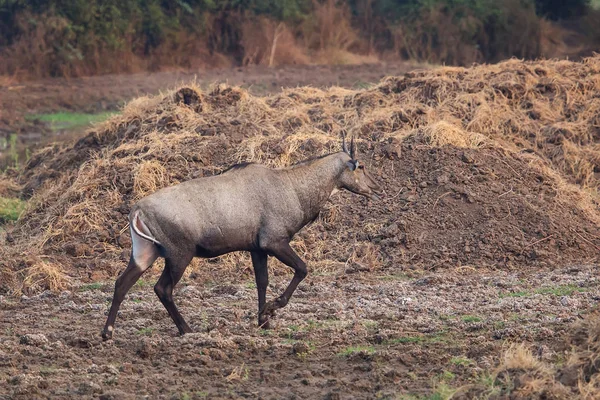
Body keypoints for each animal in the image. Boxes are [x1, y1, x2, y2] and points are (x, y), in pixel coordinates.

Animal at [98, 134, 380, 340]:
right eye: (362, 166)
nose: (376, 189)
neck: (292, 187)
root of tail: (137, 209)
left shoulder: (257, 248)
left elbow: (262, 281)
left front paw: (263, 320)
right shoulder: (274, 242)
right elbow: (302, 269)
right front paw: (271, 309)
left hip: (144, 252)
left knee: (121, 283)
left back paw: (107, 333)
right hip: (179, 255)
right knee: (162, 289)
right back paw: (186, 330)